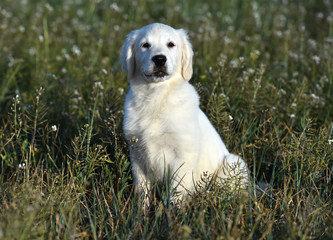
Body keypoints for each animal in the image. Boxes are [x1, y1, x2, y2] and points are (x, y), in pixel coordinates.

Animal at [120, 23, 248, 202]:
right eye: (145, 45)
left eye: (171, 44)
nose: (159, 59)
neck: (158, 97)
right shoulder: (137, 154)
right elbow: (142, 193)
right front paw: (140, 210)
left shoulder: (183, 156)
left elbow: (176, 194)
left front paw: (172, 210)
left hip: (233, 163)